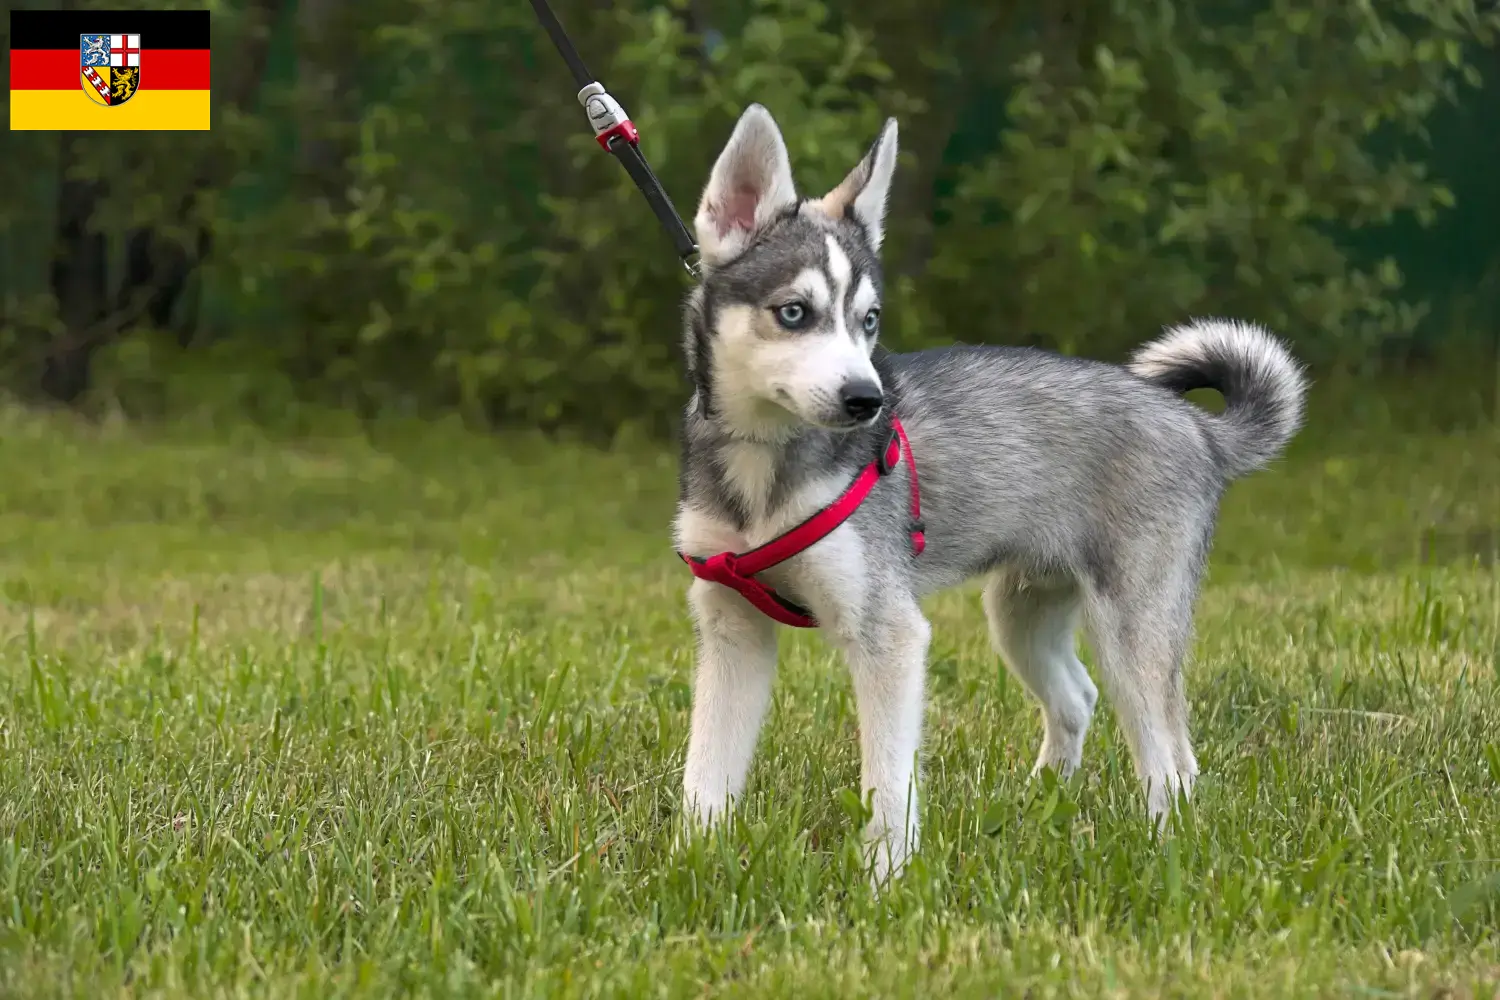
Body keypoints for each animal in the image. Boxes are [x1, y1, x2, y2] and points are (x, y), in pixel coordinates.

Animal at [675, 103, 1308, 881]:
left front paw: (886, 882)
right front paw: (689, 861)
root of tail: (1196, 426)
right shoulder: (731, 626)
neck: (763, 469)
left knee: (1171, 757)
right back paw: (1039, 802)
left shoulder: (889, 635)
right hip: (1022, 615)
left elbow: (889, 786)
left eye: (869, 320)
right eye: (793, 312)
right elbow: (705, 773)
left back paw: (1165, 848)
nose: (867, 400)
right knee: (1079, 698)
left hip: (1133, 629)